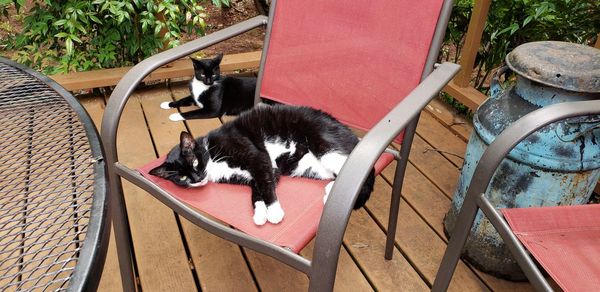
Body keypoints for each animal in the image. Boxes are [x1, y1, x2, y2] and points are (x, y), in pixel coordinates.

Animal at [149, 105, 376, 226]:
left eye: (195, 162)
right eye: (182, 178)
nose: (197, 179)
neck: (212, 155)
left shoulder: (256, 156)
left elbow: (265, 187)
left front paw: (274, 212)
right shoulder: (265, 172)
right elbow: (257, 192)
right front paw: (260, 214)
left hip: (325, 146)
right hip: (306, 166)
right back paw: (330, 190)